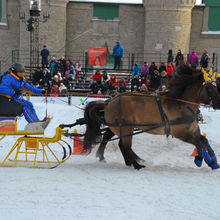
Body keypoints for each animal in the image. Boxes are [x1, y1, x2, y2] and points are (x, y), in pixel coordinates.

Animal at [82, 64, 220, 169]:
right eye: (209, 87)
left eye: (216, 86)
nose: (218, 103)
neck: (180, 105)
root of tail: (109, 102)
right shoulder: (180, 133)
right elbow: (198, 144)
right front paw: (199, 159)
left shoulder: (194, 130)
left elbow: (204, 141)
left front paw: (213, 161)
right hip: (125, 128)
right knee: (124, 145)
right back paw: (136, 165)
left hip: (121, 128)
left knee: (114, 140)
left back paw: (122, 160)